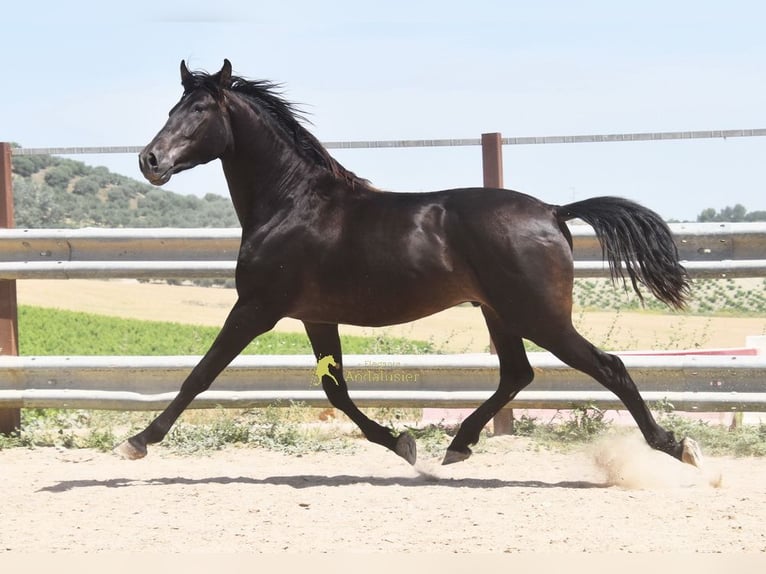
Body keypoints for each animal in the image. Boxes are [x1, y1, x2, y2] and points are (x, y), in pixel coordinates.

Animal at [115, 59, 702, 469]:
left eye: (199, 112)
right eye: (171, 111)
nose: (149, 160)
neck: (292, 203)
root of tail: (554, 212)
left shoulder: (257, 307)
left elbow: (201, 374)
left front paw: (137, 441)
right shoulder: (315, 315)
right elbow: (335, 389)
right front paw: (401, 442)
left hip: (539, 316)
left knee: (609, 367)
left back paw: (676, 446)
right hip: (501, 313)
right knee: (518, 372)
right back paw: (458, 445)